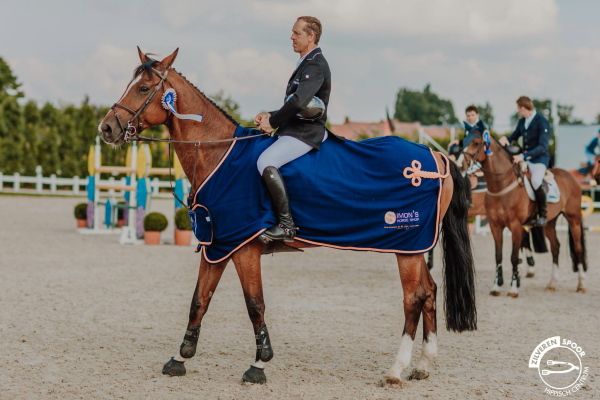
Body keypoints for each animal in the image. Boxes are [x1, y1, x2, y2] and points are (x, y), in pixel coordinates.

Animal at [98, 47, 476, 388]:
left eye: (143, 88)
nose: (107, 128)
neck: (217, 153)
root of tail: (435, 158)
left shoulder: (244, 248)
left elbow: (255, 305)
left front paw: (258, 365)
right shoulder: (217, 245)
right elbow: (198, 301)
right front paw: (180, 358)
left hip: (406, 246)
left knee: (413, 298)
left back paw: (396, 371)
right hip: (414, 248)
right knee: (429, 292)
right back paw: (422, 366)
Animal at [462, 134, 588, 296]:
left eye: (477, 143)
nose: (463, 164)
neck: (501, 186)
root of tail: (571, 177)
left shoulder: (515, 226)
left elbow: (514, 257)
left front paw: (513, 288)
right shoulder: (495, 226)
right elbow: (498, 256)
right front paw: (496, 287)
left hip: (574, 219)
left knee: (578, 249)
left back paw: (581, 285)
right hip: (549, 223)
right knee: (555, 248)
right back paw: (552, 283)